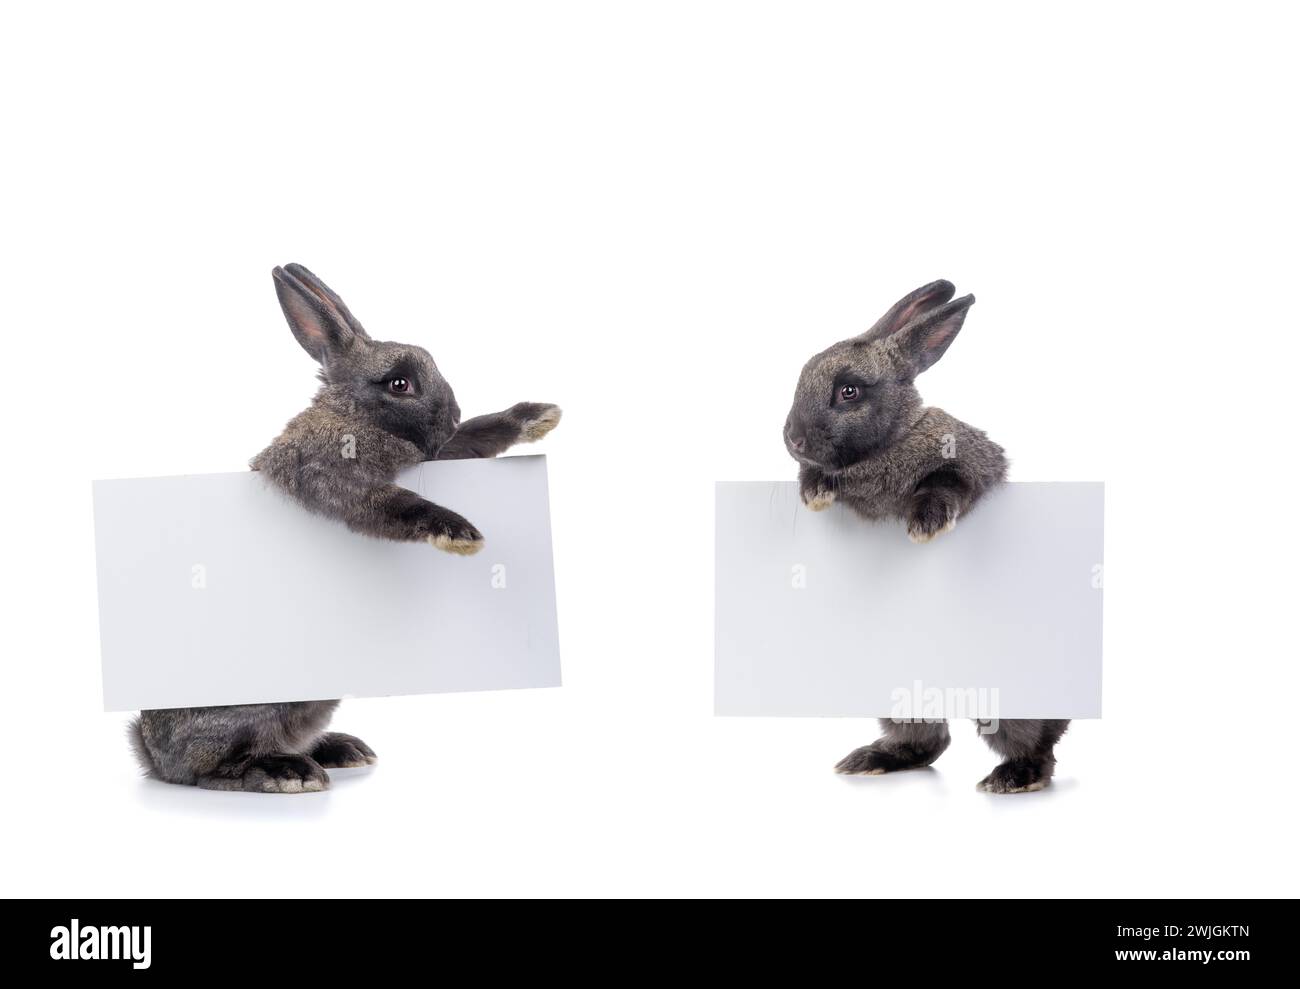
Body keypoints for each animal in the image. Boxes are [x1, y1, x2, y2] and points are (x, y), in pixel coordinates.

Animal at [124, 259, 561, 784]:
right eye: (399, 384)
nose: (451, 413)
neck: (353, 413)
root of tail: (151, 754)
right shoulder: (339, 479)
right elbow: (397, 504)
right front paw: (460, 534)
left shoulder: (436, 453)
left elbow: (473, 438)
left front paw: (539, 416)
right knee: (210, 770)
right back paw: (288, 771)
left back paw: (342, 750)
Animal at [785, 279, 1071, 795]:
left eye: (849, 390)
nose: (792, 438)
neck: (886, 445)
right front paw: (814, 493)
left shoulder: (971, 465)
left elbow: (945, 483)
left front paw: (925, 526)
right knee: (928, 740)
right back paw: (871, 760)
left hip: (1012, 709)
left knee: (1039, 745)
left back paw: (1013, 778)